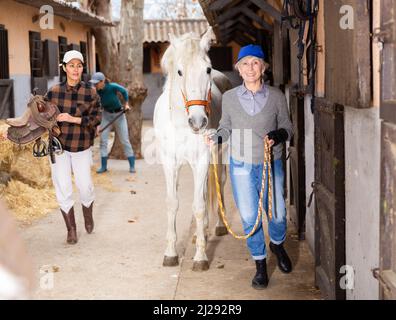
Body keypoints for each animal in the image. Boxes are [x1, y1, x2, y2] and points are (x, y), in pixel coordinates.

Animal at [153, 28, 230, 272]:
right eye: (179, 71)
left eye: (207, 69)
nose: (198, 122)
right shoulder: (169, 163)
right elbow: (172, 203)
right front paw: (170, 254)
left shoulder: (203, 160)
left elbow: (199, 206)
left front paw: (200, 257)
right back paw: (199, 233)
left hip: (220, 154)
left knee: (220, 183)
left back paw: (217, 227)